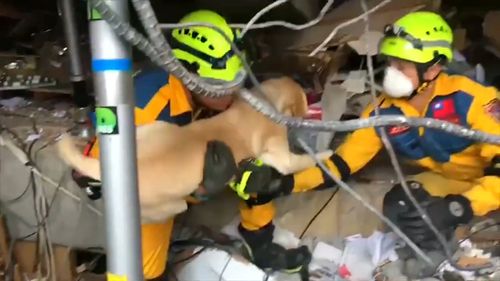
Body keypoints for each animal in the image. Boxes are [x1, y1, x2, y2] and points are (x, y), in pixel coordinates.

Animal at [56, 75, 332, 222]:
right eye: (304, 101)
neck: (265, 102)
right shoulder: (281, 155)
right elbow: (302, 160)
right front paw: (326, 154)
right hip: (171, 205)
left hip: (153, 128)